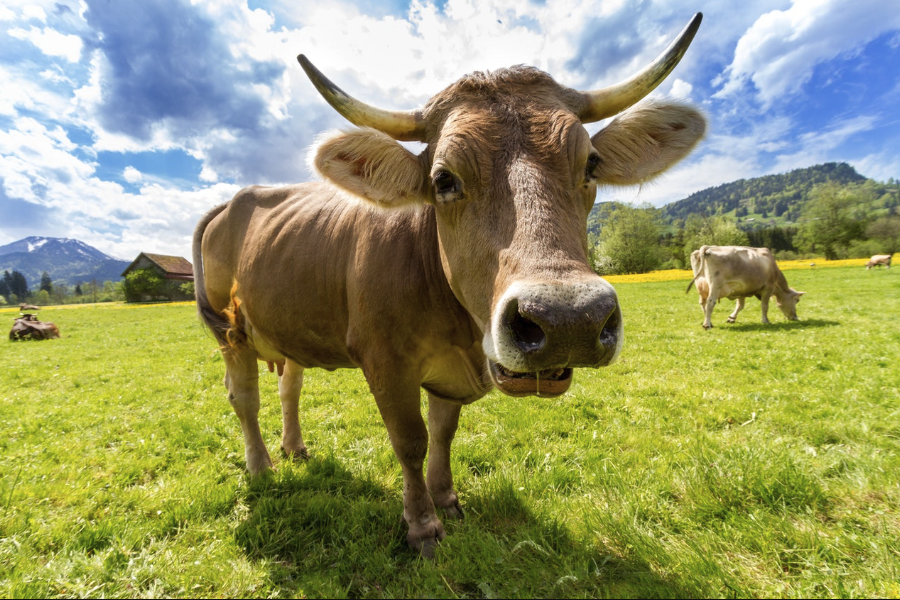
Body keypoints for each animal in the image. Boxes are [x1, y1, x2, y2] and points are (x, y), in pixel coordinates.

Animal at [193, 14, 708, 552]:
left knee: (288, 386)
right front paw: (422, 524)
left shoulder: (448, 375)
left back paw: (294, 448)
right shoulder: (384, 361)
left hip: (287, 325)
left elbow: (443, 433)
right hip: (230, 332)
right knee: (244, 397)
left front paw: (446, 500)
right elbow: (410, 440)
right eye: (443, 179)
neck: (458, 330)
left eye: (590, 164)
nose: (569, 320)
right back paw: (261, 466)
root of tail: (236, 199)